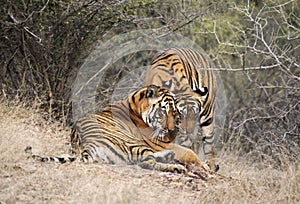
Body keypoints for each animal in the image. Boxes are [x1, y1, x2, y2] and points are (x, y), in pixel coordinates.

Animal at [27, 85, 211, 173]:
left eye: (174, 109)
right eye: (164, 109)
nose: (175, 127)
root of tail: (86, 146)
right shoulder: (157, 142)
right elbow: (190, 152)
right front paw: (206, 166)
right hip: (134, 143)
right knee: (146, 163)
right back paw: (175, 166)